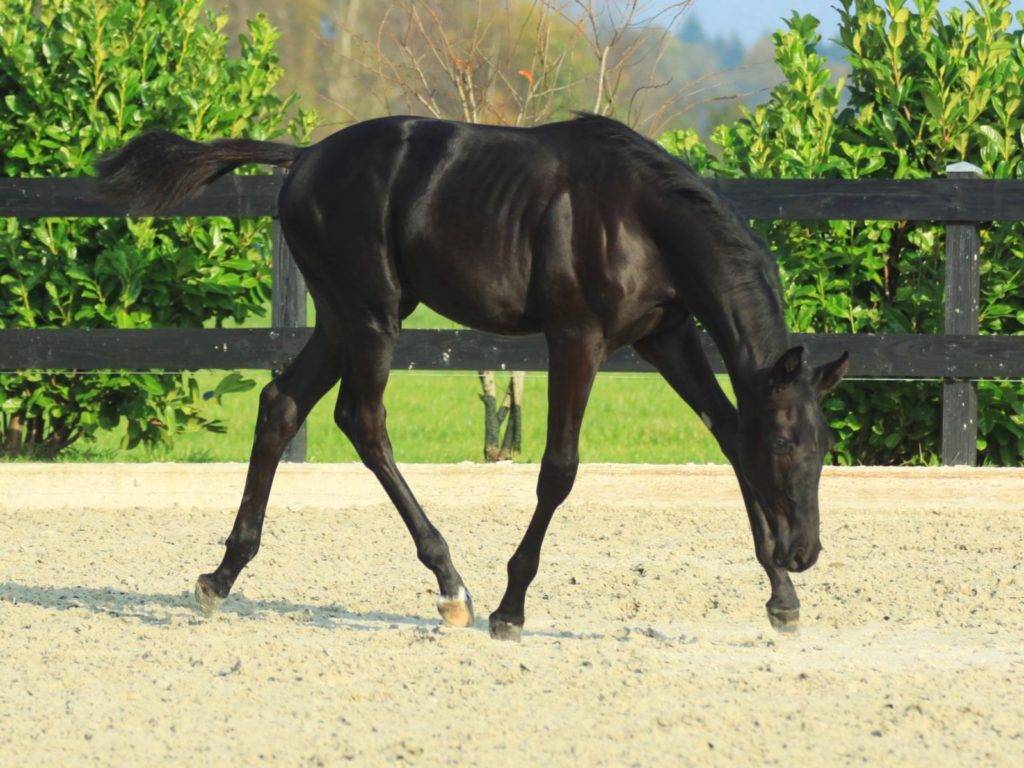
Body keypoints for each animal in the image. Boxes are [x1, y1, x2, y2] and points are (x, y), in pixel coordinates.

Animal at [97, 113, 849, 641]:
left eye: (821, 447)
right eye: (787, 444)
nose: (807, 551)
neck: (640, 219)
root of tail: (304, 158)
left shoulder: (667, 337)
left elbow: (730, 435)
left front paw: (782, 599)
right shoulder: (577, 340)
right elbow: (559, 470)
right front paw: (511, 608)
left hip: (344, 317)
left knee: (282, 405)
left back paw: (221, 576)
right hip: (369, 316)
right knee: (361, 420)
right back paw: (451, 586)